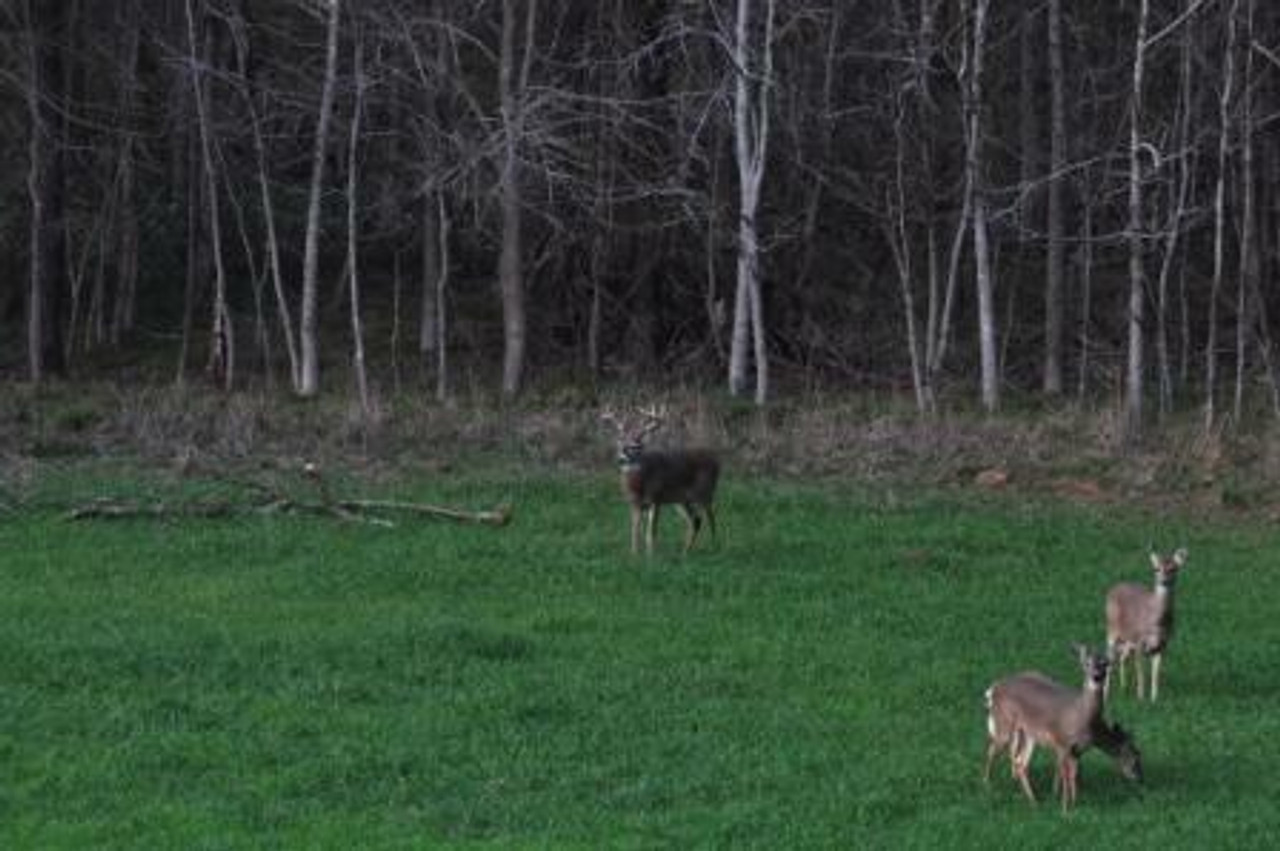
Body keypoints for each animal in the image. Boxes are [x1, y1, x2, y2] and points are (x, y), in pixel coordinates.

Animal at [601, 404, 721, 550]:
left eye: (638, 443)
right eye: (622, 442)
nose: (623, 457)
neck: (639, 485)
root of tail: (717, 461)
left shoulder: (656, 499)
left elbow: (651, 533)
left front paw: (651, 554)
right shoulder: (634, 503)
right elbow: (635, 532)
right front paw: (634, 554)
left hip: (705, 491)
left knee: (711, 518)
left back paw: (714, 546)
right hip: (681, 500)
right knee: (695, 520)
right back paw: (685, 551)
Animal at [977, 644, 1141, 808]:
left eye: (1105, 664)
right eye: (1086, 664)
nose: (1139, 776)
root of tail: (993, 689)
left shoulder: (1076, 750)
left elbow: (1073, 774)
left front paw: (1075, 802)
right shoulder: (1061, 743)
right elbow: (1065, 775)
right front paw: (1063, 805)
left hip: (1028, 733)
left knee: (1020, 762)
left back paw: (1033, 800)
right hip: (1004, 724)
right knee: (992, 750)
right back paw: (987, 785)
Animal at [1100, 547, 1187, 701]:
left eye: (1173, 569)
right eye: (1156, 569)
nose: (1163, 581)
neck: (1157, 622)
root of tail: (1114, 588)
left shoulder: (1161, 646)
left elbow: (1155, 674)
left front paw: (1154, 699)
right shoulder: (1140, 642)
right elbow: (1141, 675)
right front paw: (1140, 698)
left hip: (1128, 641)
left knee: (1122, 658)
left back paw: (1123, 688)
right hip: (1111, 630)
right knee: (1109, 660)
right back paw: (1105, 694)